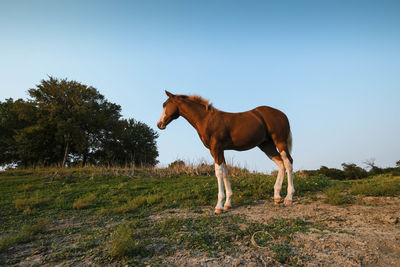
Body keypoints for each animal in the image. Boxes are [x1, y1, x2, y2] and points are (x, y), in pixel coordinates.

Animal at [158, 91, 296, 215]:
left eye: (165, 105)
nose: (159, 124)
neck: (206, 119)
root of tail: (282, 114)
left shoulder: (216, 149)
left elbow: (219, 173)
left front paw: (219, 206)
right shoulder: (218, 151)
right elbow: (225, 173)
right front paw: (227, 203)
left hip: (280, 142)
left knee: (288, 163)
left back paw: (289, 198)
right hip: (266, 146)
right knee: (281, 164)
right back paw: (277, 196)